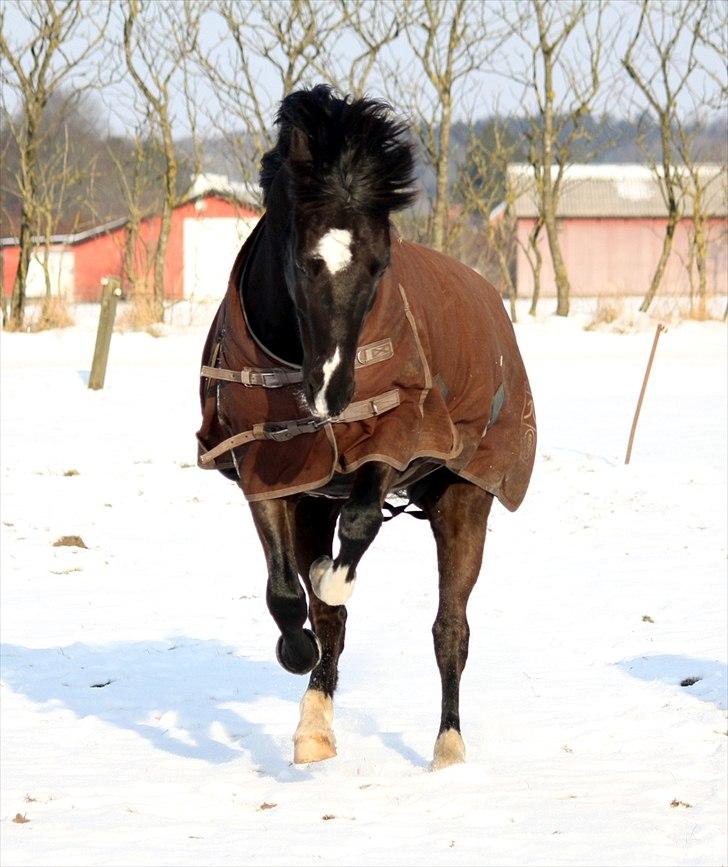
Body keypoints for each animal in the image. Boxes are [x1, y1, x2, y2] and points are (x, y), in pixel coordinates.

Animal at [198, 85, 536, 768]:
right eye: (305, 262)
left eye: (381, 265)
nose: (334, 393)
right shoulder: (270, 475)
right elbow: (288, 597)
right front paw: (299, 655)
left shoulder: (392, 444)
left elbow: (353, 536)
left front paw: (332, 579)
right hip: (321, 499)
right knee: (332, 620)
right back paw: (315, 725)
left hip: (465, 498)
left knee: (450, 628)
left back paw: (449, 747)